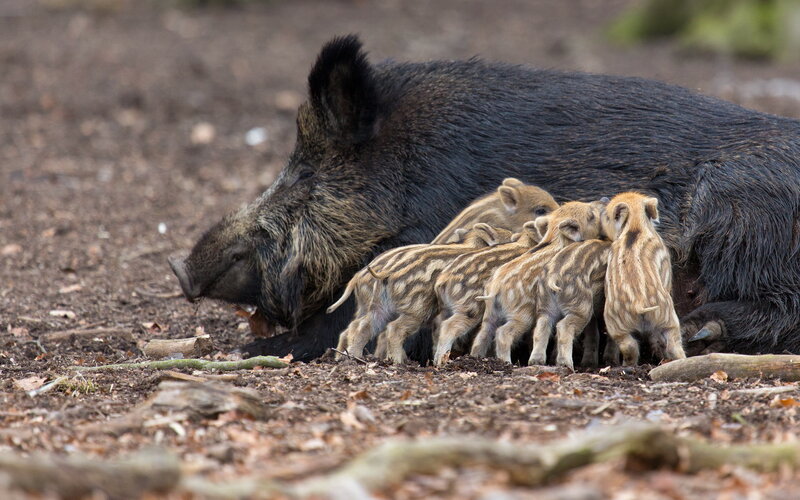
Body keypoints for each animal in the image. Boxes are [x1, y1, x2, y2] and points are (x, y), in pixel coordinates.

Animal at [602, 192, 686, 366]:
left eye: (607, 216)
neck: (635, 225)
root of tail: (638, 304)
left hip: (620, 325)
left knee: (629, 346)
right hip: (667, 318)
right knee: (672, 344)